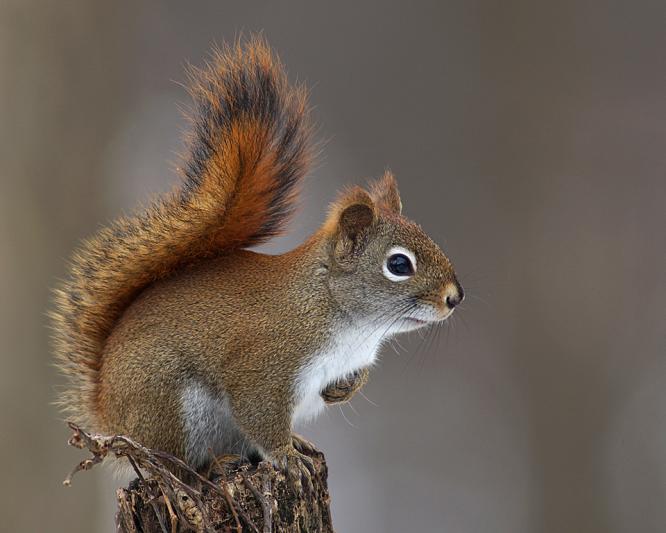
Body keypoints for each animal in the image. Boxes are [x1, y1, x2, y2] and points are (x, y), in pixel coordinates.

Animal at [52, 37, 464, 474]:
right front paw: (285, 456)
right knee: (172, 462)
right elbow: (260, 415)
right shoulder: (263, 368)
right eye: (399, 264)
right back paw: (218, 463)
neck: (345, 319)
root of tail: (108, 412)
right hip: (167, 404)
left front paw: (343, 390)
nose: (455, 297)